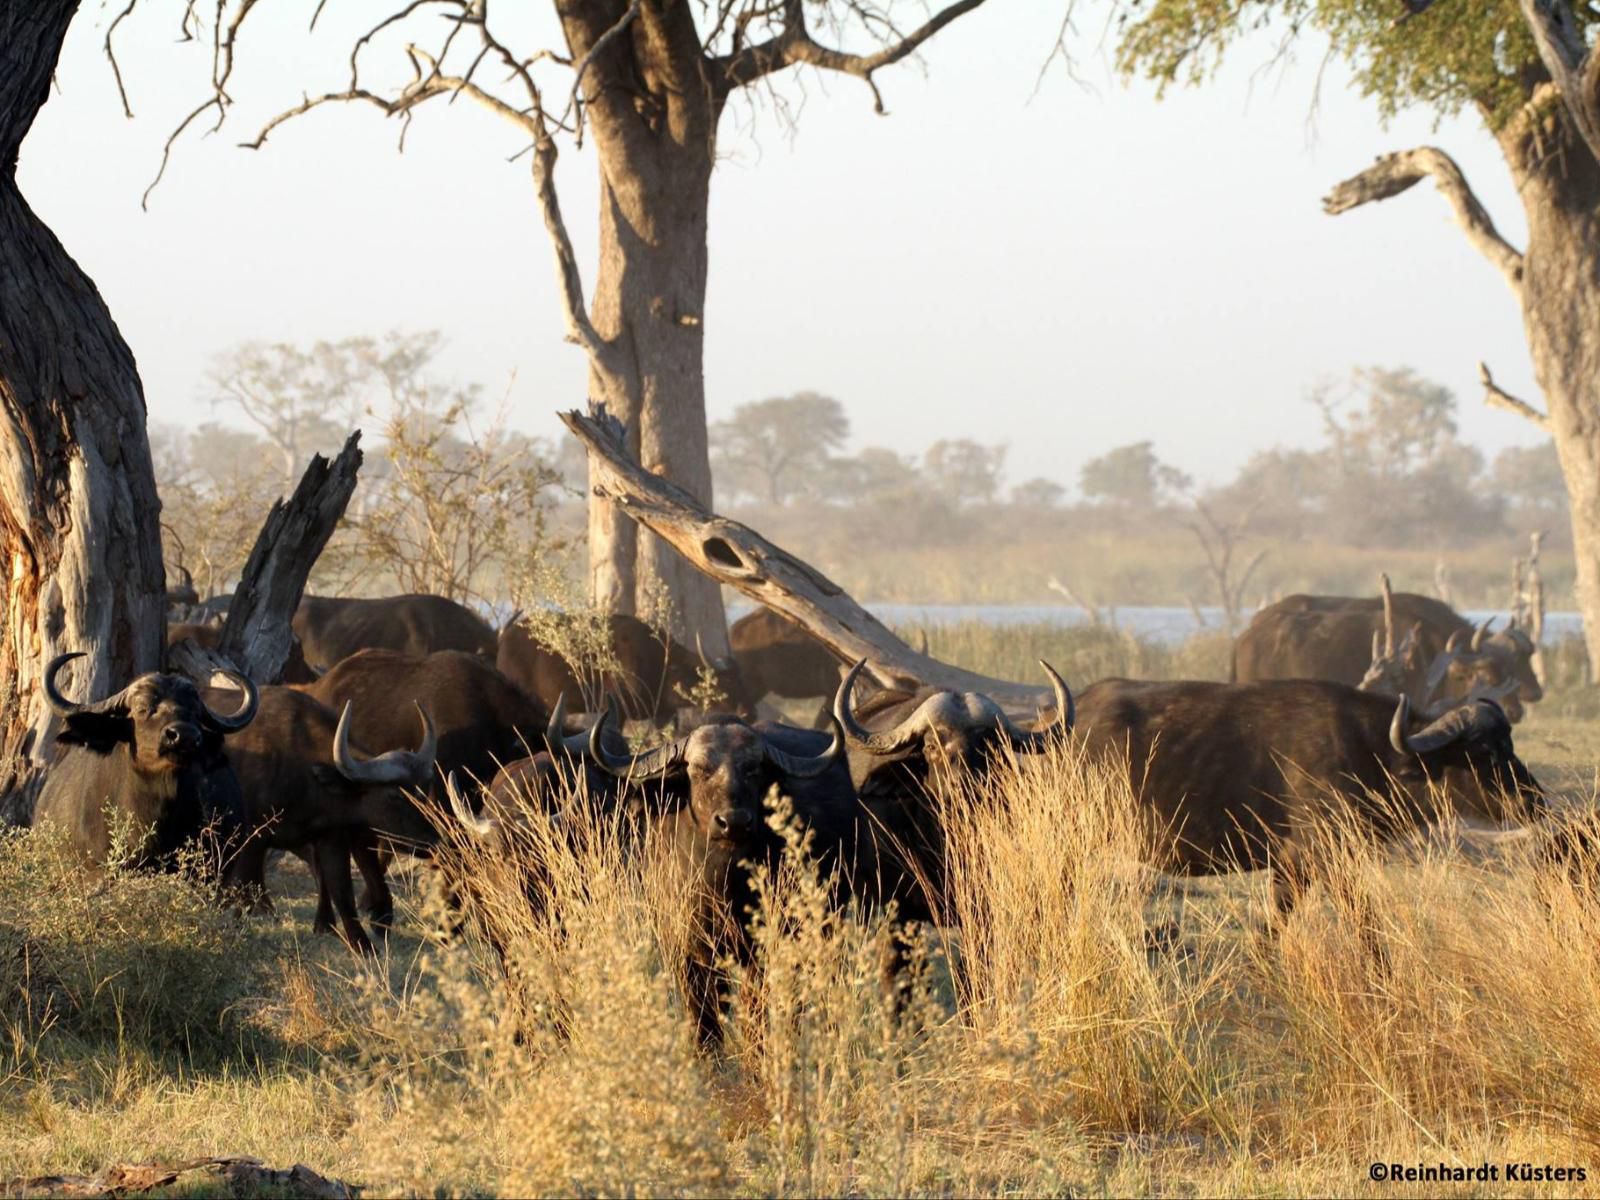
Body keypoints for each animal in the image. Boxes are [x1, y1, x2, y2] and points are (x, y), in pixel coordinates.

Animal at [1068, 678, 1542, 928]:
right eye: (1483, 752)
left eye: (1510, 743)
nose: (1532, 799)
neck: (1374, 754)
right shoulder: (1315, 860)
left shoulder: (1296, 867)